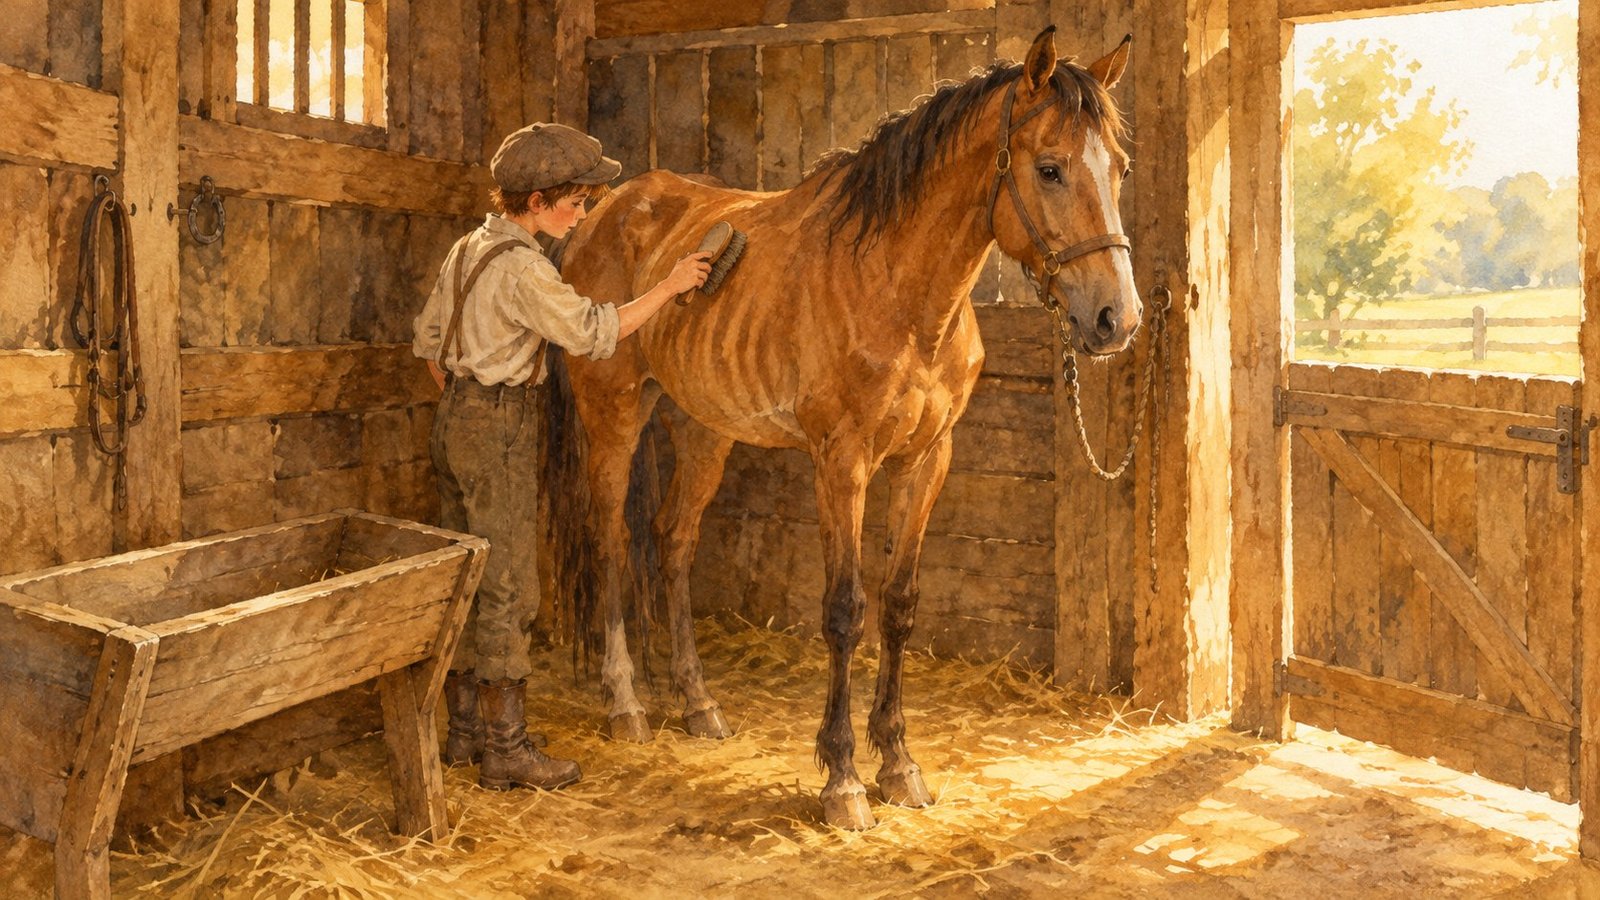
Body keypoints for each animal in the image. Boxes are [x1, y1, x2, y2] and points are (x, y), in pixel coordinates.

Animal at [551, 27, 1140, 829]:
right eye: (1049, 168)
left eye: (1118, 168)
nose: (1116, 318)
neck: (896, 288)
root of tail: (605, 211)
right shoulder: (842, 462)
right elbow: (844, 610)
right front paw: (843, 780)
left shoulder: (927, 460)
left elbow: (898, 606)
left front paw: (899, 763)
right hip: (614, 411)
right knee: (611, 540)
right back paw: (626, 705)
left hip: (705, 429)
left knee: (673, 542)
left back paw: (698, 704)